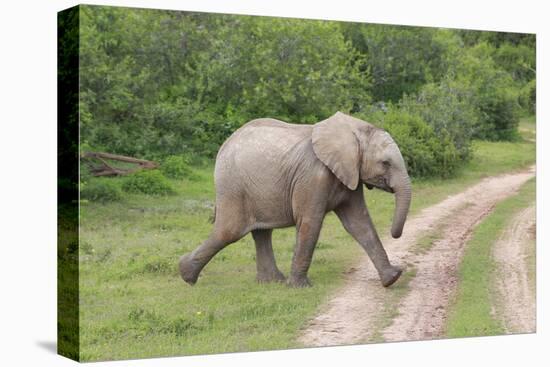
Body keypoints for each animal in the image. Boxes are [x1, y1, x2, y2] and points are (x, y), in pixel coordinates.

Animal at [179, 110, 412, 288]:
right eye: (385, 163)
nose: (396, 234)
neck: (353, 129)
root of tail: (224, 145)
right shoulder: (313, 177)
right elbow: (310, 223)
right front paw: (300, 287)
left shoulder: (348, 175)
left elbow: (359, 223)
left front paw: (392, 278)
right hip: (232, 185)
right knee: (229, 231)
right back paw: (185, 274)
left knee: (260, 232)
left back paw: (272, 282)